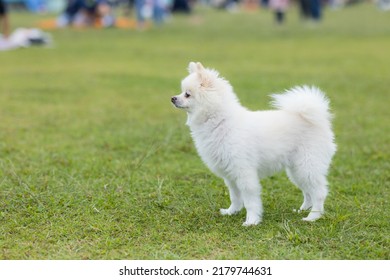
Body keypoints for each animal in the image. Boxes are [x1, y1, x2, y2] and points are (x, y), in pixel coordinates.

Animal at [171, 61, 336, 225]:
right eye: (182, 92)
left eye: (187, 94)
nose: (173, 98)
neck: (220, 121)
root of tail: (319, 120)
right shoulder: (230, 174)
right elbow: (235, 197)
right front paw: (231, 212)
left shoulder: (244, 172)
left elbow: (250, 200)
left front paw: (251, 220)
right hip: (296, 170)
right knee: (308, 192)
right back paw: (302, 210)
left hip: (307, 166)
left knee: (319, 192)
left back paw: (313, 216)